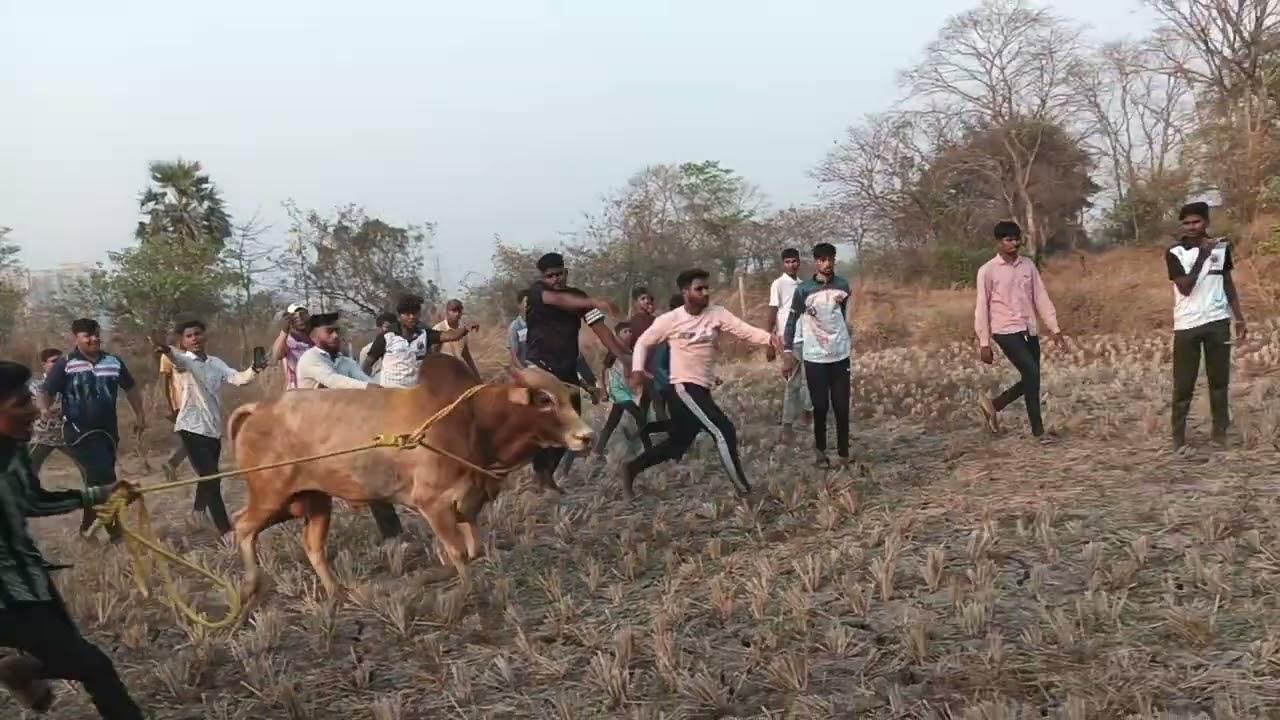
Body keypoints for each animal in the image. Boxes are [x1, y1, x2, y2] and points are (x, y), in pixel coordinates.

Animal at [226, 353, 594, 600]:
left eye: (566, 396)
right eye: (544, 399)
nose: (587, 436)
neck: (472, 420)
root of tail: (259, 408)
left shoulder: (467, 504)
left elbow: (473, 549)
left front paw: (436, 573)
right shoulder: (433, 503)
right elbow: (459, 552)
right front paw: (467, 591)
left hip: (313, 501)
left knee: (311, 545)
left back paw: (337, 593)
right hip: (271, 495)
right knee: (242, 524)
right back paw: (249, 586)